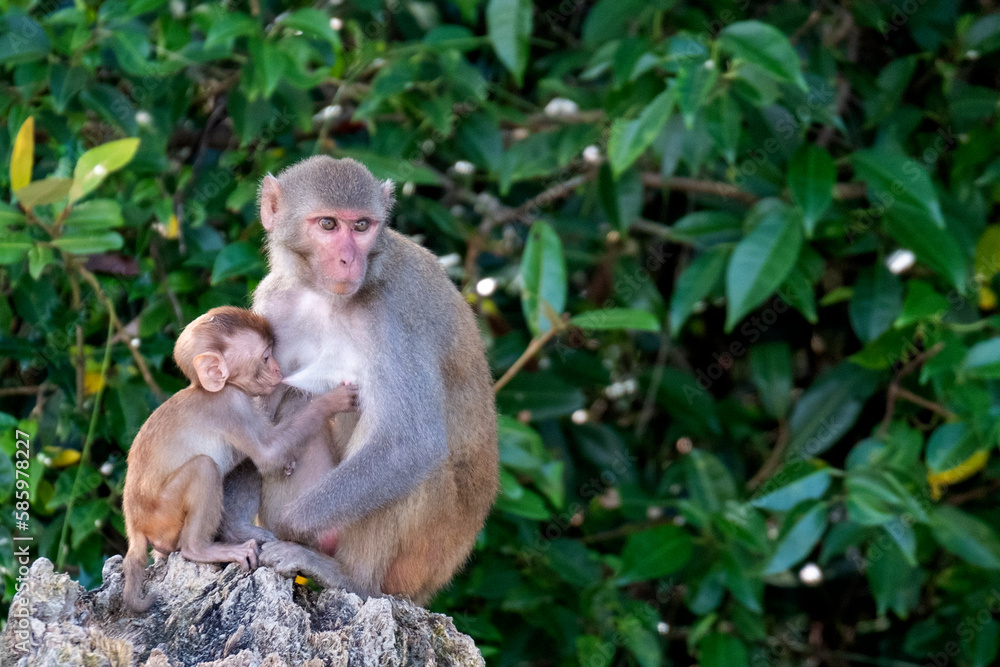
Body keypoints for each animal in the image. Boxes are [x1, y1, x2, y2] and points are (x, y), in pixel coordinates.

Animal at [122, 306, 359, 612]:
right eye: (266, 357)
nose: (278, 370)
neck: (214, 388)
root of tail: (135, 525)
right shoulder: (231, 405)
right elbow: (266, 454)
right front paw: (332, 400)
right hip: (163, 515)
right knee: (204, 468)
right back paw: (201, 549)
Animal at [219, 156, 499, 605]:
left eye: (362, 226)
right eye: (328, 224)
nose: (349, 260)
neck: (325, 296)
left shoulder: (391, 314)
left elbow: (407, 443)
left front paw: (287, 531)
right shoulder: (273, 304)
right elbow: (253, 431)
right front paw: (239, 530)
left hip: (424, 557)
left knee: (407, 462)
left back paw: (349, 577)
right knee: (296, 398)